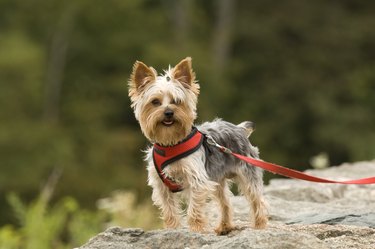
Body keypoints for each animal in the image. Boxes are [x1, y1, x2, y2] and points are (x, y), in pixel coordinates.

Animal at [129, 57, 268, 234]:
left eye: (177, 101)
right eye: (155, 102)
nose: (168, 112)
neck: (171, 143)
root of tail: (239, 128)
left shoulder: (196, 179)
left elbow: (194, 207)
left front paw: (196, 228)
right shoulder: (161, 184)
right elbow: (169, 208)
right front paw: (172, 228)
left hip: (247, 171)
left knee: (257, 198)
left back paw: (260, 224)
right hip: (218, 179)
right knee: (225, 202)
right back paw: (224, 227)